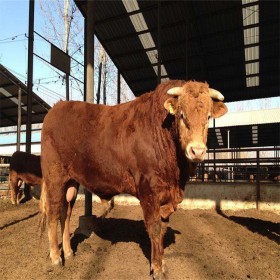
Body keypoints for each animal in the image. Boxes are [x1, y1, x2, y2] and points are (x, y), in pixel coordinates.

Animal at [40, 80, 228, 278]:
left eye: (208, 117)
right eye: (182, 115)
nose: (197, 151)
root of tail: (57, 107)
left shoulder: (165, 196)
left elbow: (162, 229)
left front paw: (160, 264)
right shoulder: (149, 191)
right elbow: (154, 228)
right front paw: (157, 269)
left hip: (71, 182)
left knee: (65, 213)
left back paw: (68, 252)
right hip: (54, 177)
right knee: (53, 213)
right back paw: (56, 258)